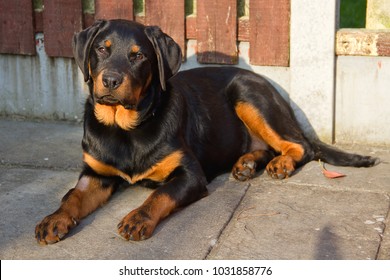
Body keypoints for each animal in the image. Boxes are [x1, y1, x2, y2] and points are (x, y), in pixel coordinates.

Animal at [35, 19, 378, 245]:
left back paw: (279, 164)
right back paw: (247, 164)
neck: (125, 127)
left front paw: (138, 218)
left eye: (139, 55)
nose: (110, 80)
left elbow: (159, 195)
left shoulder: (189, 174)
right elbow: (72, 196)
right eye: (101, 50)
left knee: (300, 146)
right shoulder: (95, 173)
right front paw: (53, 220)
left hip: (248, 95)